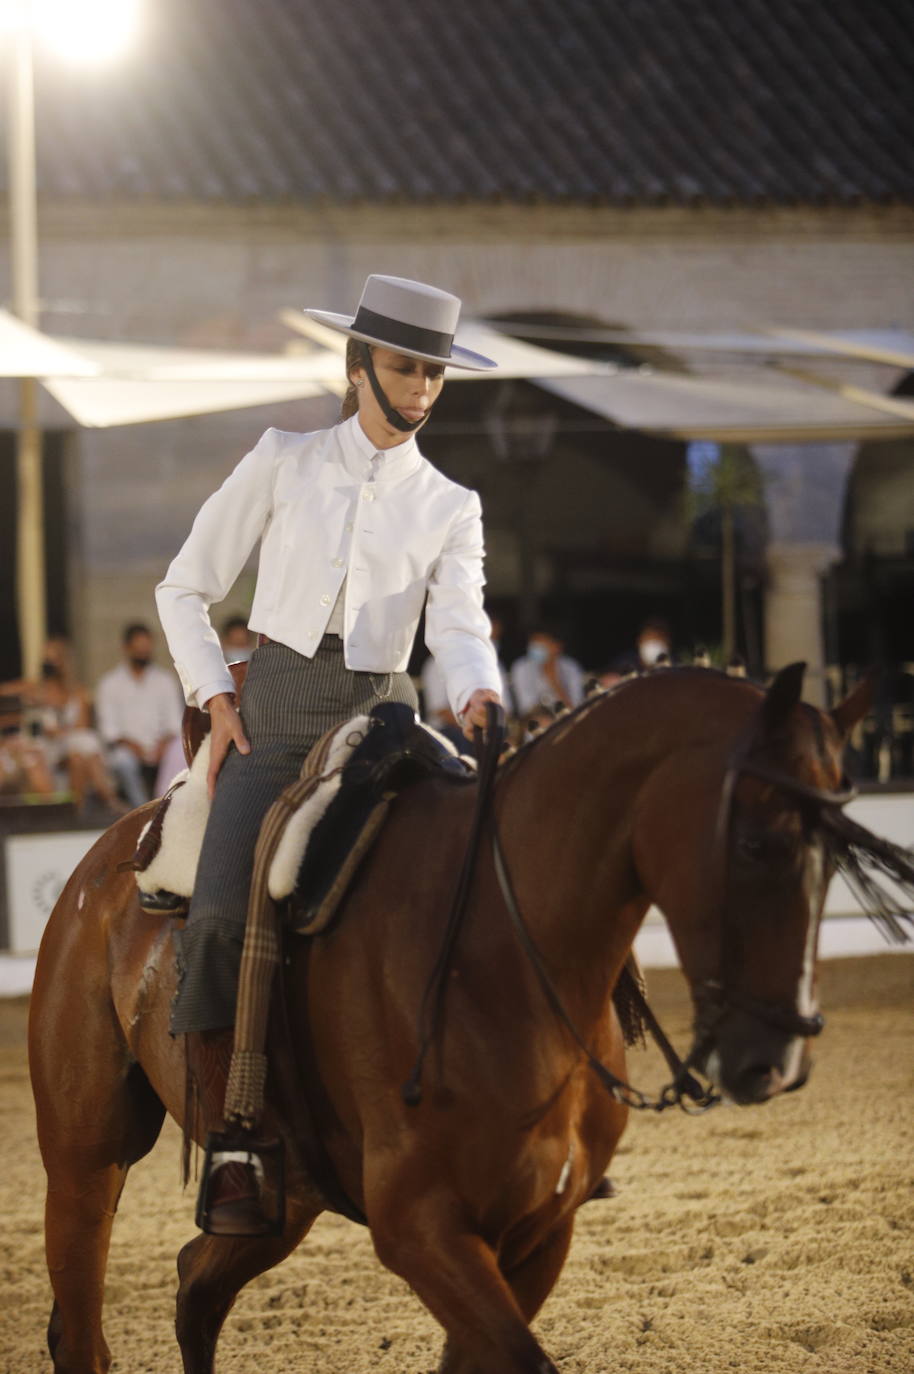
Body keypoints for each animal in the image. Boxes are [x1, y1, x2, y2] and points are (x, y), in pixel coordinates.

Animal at [28, 659, 868, 1368]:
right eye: (759, 843)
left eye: (837, 856)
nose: (776, 1060)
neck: (499, 951)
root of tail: (110, 853)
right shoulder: (422, 1231)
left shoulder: (537, 1236)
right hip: (86, 1159)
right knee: (84, 1330)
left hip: (283, 1200)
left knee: (195, 1286)